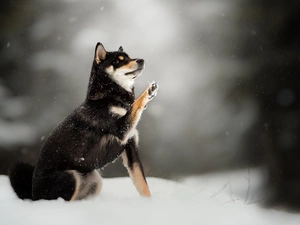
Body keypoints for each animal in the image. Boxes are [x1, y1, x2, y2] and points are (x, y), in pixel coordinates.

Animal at [8, 42, 159, 200]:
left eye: (129, 57)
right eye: (118, 61)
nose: (141, 60)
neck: (108, 98)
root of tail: (33, 194)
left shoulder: (131, 146)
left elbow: (143, 185)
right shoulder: (121, 129)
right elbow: (136, 104)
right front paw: (147, 92)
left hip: (94, 180)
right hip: (71, 177)